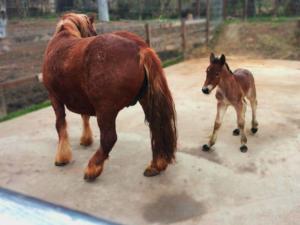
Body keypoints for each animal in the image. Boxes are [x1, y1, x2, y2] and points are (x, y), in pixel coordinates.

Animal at [42, 12, 176, 181]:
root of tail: (141, 48)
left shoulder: (54, 98)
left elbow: (60, 125)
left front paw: (62, 157)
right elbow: (84, 117)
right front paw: (85, 139)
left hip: (105, 109)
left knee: (109, 138)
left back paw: (93, 167)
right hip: (145, 100)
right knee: (156, 126)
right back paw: (156, 165)